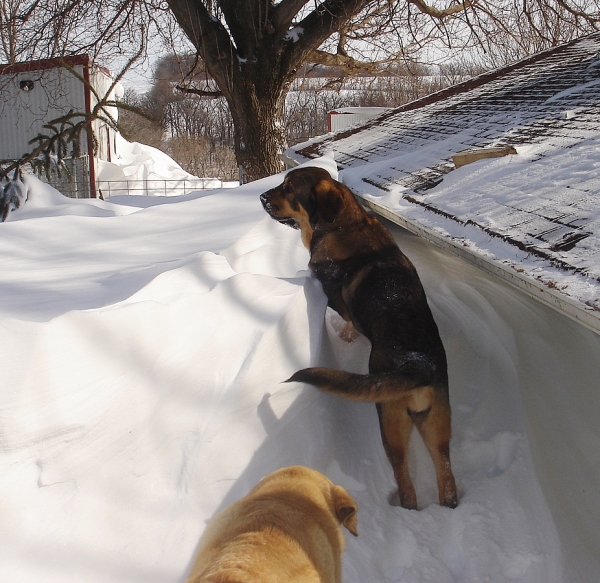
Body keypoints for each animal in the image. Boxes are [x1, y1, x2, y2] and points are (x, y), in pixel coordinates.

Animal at [260, 167, 458, 508]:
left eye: (288, 188)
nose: (260, 196)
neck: (343, 223)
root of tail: (417, 366)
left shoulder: (331, 293)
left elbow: (347, 316)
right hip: (437, 423)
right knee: (446, 472)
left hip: (391, 422)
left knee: (404, 477)